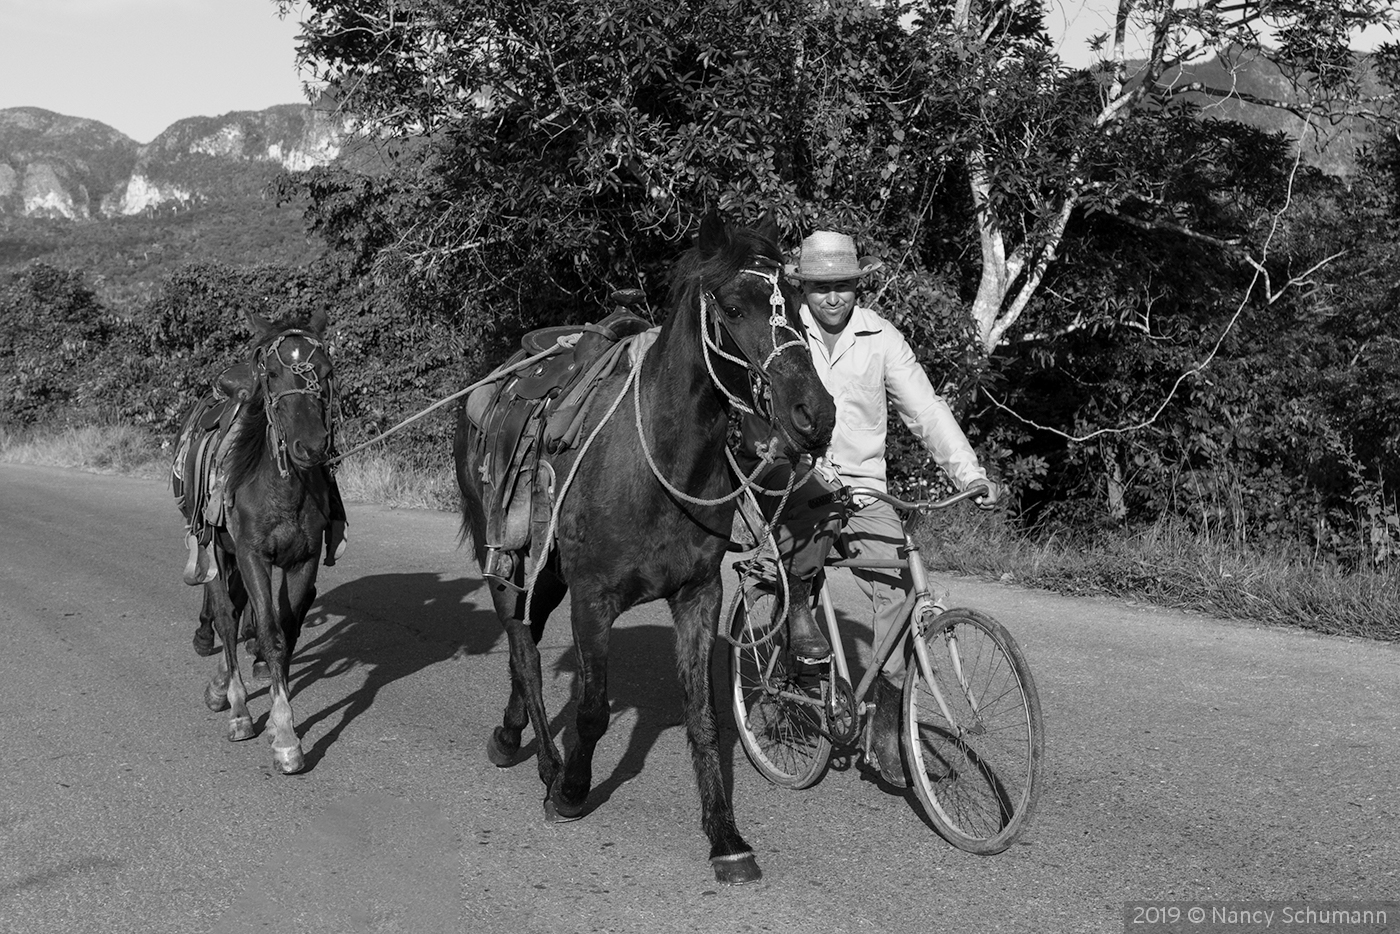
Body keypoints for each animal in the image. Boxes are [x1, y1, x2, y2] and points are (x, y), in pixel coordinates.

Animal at [173, 306, 337, 772]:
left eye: (326, 371)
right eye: (274, 375)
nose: (311, 447)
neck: (279, 486)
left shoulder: (304, 560)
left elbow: (287, 630)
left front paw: (280, 725)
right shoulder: (252, 556)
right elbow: (267, 631)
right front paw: (283, 734)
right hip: (214, 549)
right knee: (227, 617)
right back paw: (238, 707)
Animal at [453, 214, 834, 884]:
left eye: (798, 306)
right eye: (733, 307)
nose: (815, 414)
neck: (656, 457)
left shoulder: (698, 597)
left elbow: (703, 718)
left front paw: (725, 836)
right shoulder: (593, 599)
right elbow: (592, 709)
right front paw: (571, 792)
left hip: (548, 570)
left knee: (526, 638)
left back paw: (511, 733)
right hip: (507, 558)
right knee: (523, 646)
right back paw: (546, 765)